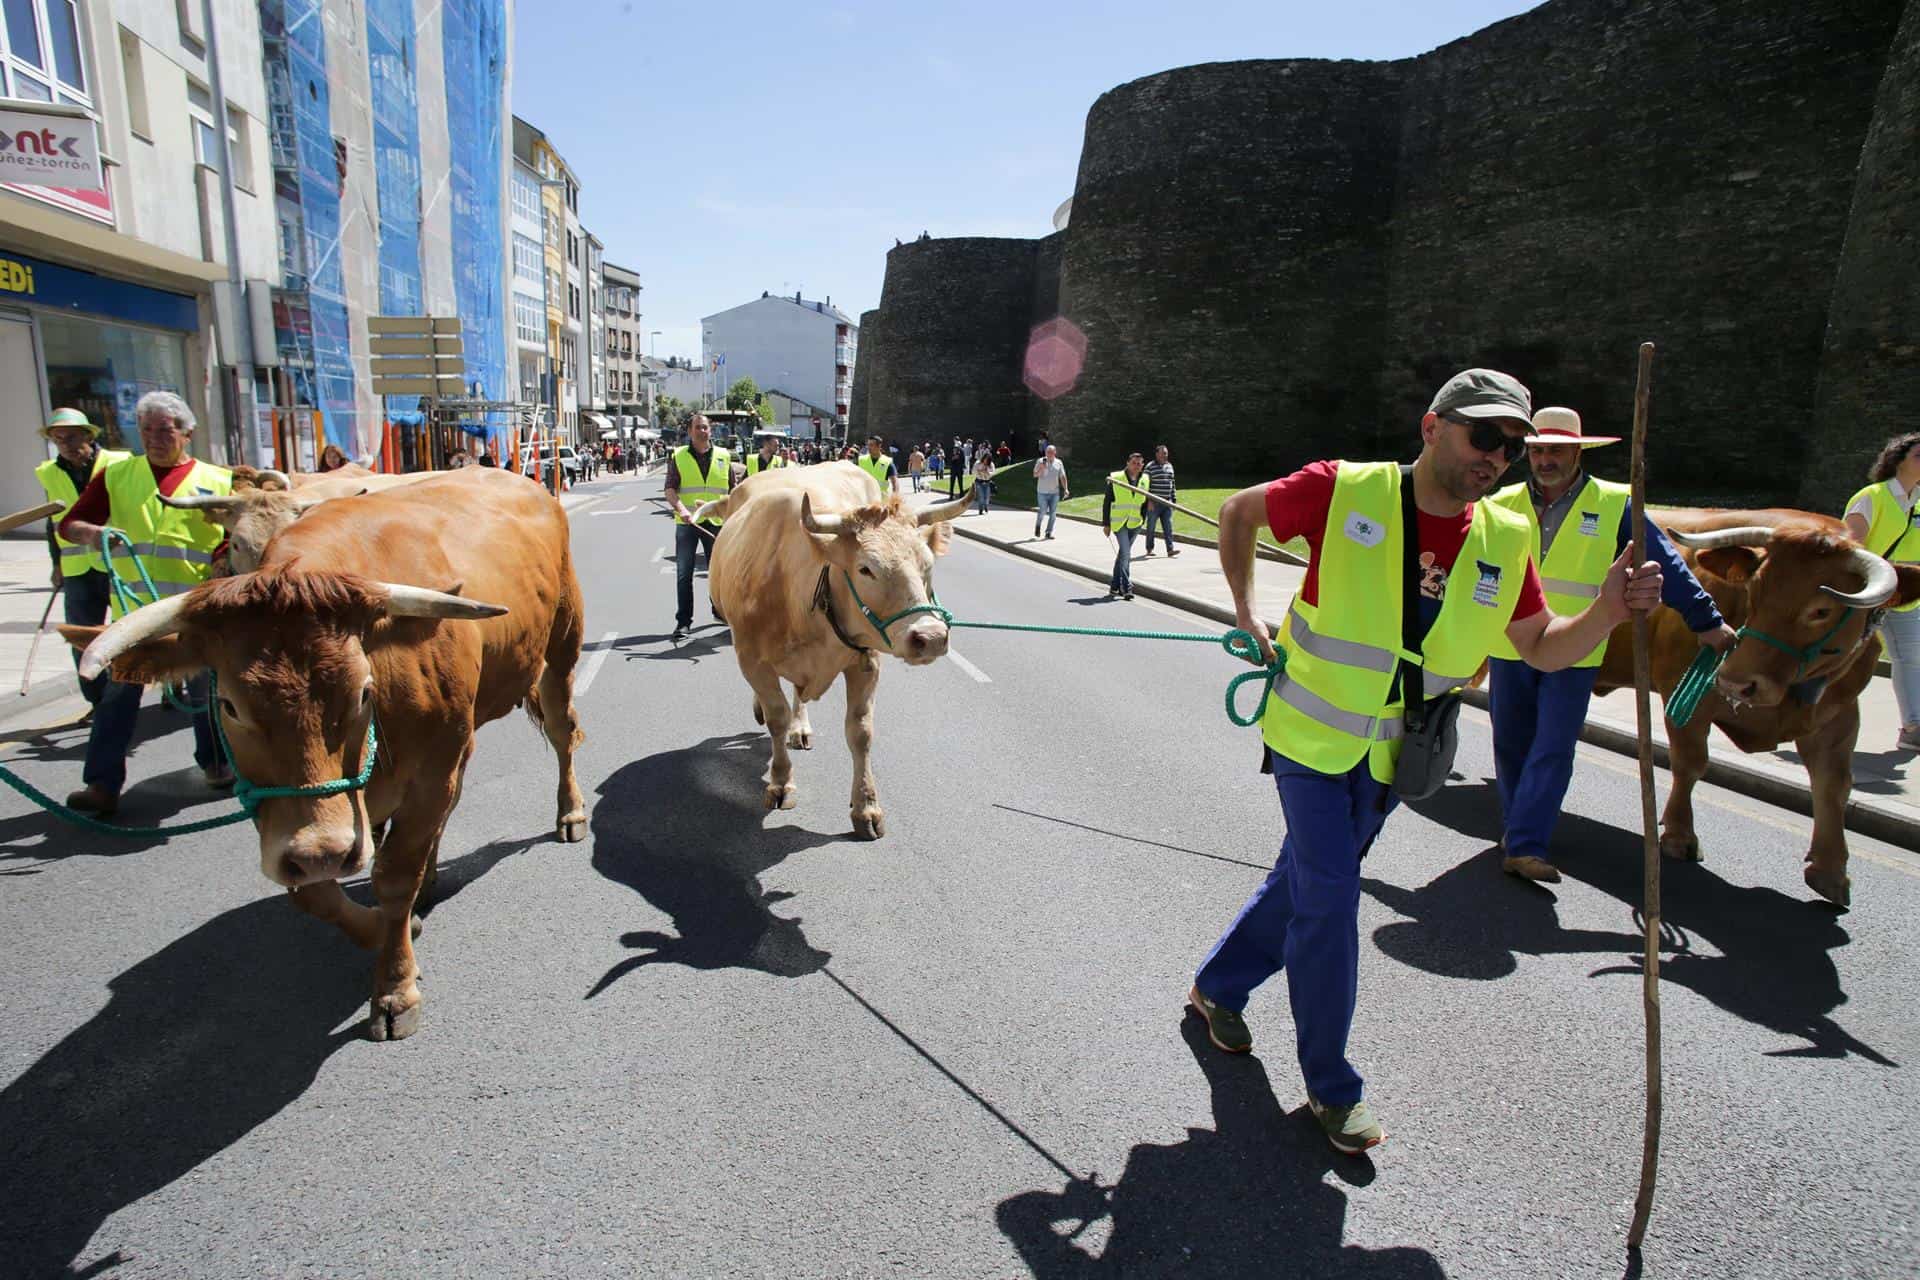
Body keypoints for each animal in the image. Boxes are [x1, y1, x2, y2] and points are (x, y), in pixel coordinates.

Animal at [65, 470, 583, 1043]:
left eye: (362, 692)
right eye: (228, 704)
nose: (322, 850)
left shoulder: (429, 771)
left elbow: (393, 875)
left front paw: (395, 988)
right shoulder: (275, 806)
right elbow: (314, 893)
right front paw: (387, 927)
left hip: (560, 647)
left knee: (562, 733)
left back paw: (569, 813)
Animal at [698, 466, 967, 836]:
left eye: (927, 564)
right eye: (866, 568)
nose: (931, 637)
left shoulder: (866, 660)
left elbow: (860, 732)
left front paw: (866, 806)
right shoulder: (751, 659)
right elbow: (776, 717)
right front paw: (780, 782)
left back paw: (800, 727)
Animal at [1589, 510, 1920, 909]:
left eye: (1821, 610)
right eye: (1754, 591)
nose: (1735, 681)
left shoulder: (1838, 715)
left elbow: (1834, 786)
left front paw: (1830, 871)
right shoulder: (1681, 693)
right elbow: (1690, 762)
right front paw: (1680, 836)